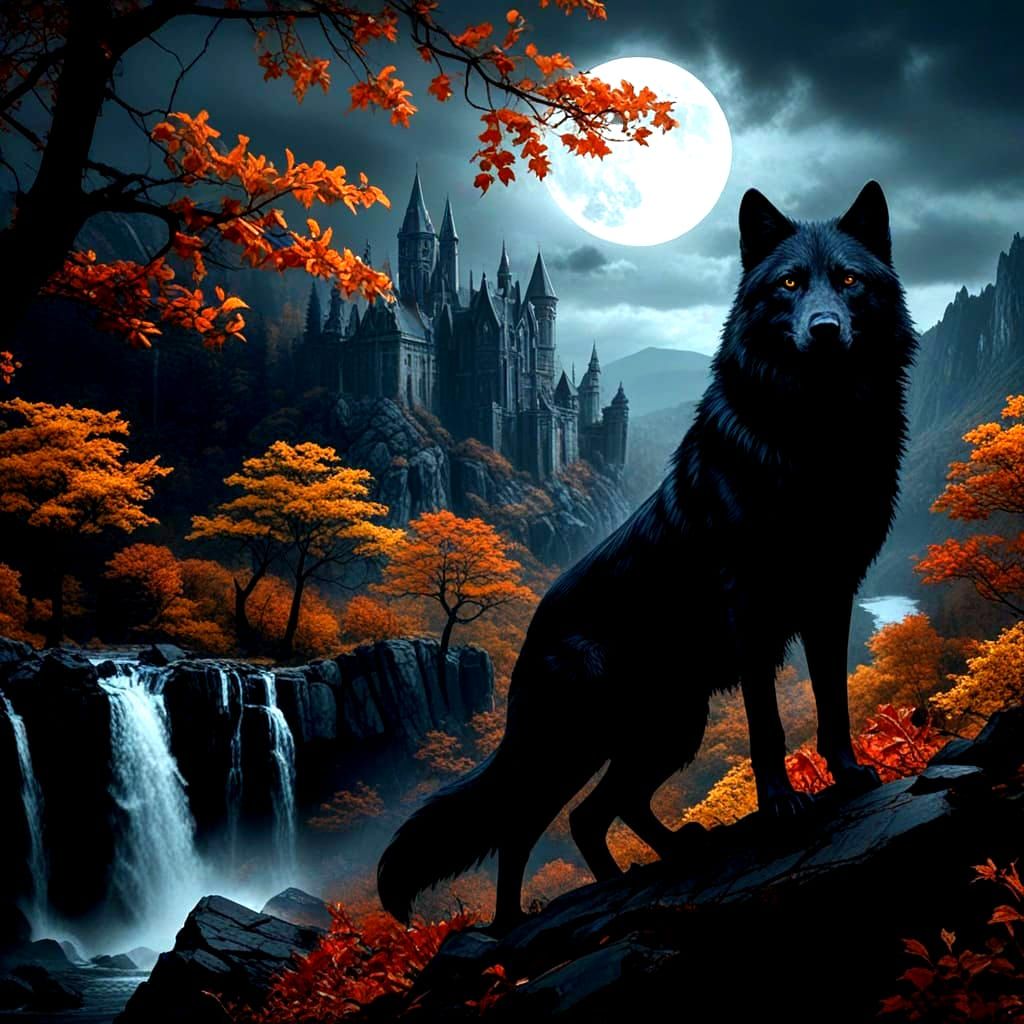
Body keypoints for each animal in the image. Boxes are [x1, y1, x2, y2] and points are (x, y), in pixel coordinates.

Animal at [378, 181, 917, 932]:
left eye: (848, 281)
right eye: (787, 284)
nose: (825, 329)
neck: (814, 430)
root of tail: (530, 634)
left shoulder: (831, 599)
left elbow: (832, 702)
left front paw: (848, 774)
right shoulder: (750, 614)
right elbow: (768, 726)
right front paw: (782, 806)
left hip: (669, 726)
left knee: (596, 814)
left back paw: (653, 866)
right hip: (583, 742)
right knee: (523, 826)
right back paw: (512, 922)